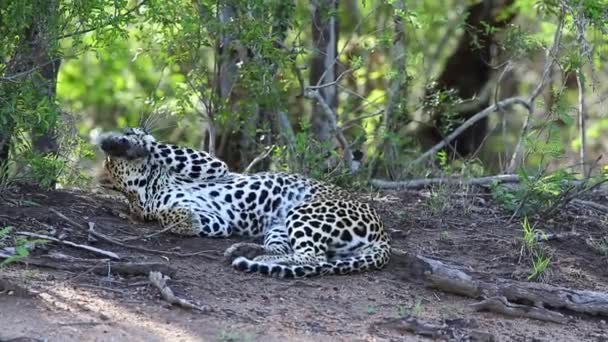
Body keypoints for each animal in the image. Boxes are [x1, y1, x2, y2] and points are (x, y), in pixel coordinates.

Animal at [95, 126, 390, 278]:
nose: (137, 128)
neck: (146, 188)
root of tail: (384, 235)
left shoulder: (214, 166)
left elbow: (164, 149)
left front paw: (125, 141)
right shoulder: (218, 220)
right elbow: (170, 216)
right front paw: (186, 220)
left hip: (303, 212)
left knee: (312, 256)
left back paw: (252, 255)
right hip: (283, 223)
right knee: (309, 256)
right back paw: (247, 252)